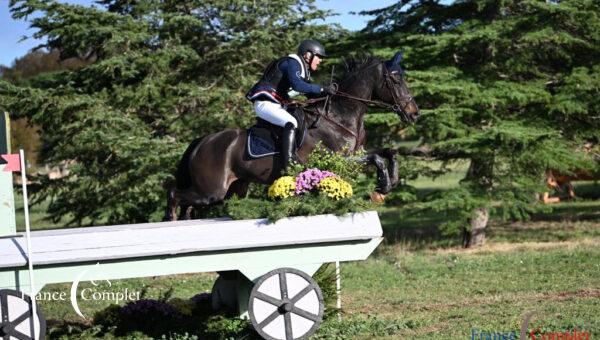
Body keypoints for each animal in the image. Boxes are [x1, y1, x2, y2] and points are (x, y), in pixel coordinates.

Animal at [163, 50, 418, 220]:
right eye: (396, 80)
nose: (414, 113)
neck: (340, 115)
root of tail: (201, 142)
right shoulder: (338, 160)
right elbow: (376, 159)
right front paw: (383, 185)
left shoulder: (357, 153)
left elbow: (388, 152)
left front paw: (390, 182)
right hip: (211, 191)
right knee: (175, 194)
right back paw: (171, 220)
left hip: (234, 189)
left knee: (188, 204)